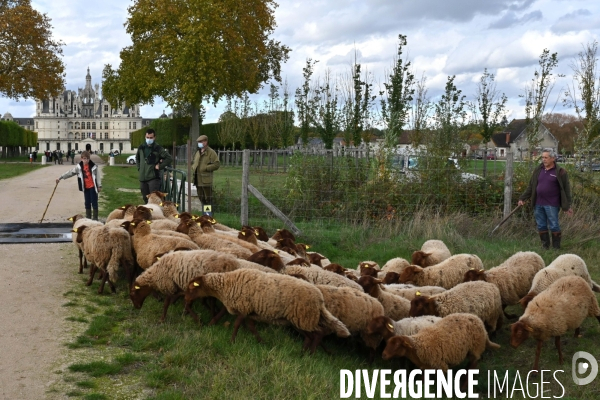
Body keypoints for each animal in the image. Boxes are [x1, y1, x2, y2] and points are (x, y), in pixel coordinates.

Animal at [184, 268, 352, 348]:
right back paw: (304, 352)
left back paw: (307, 354)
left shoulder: (244, 308)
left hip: (304, 317)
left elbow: (237, 324)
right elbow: (250, 327)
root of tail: (320, 299)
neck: (226, 284)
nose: (186, 300)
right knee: (312, 336)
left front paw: (231, 341)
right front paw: (261, 342)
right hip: (301, 319)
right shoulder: (249, 312)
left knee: (317, 334)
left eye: (191, 288)